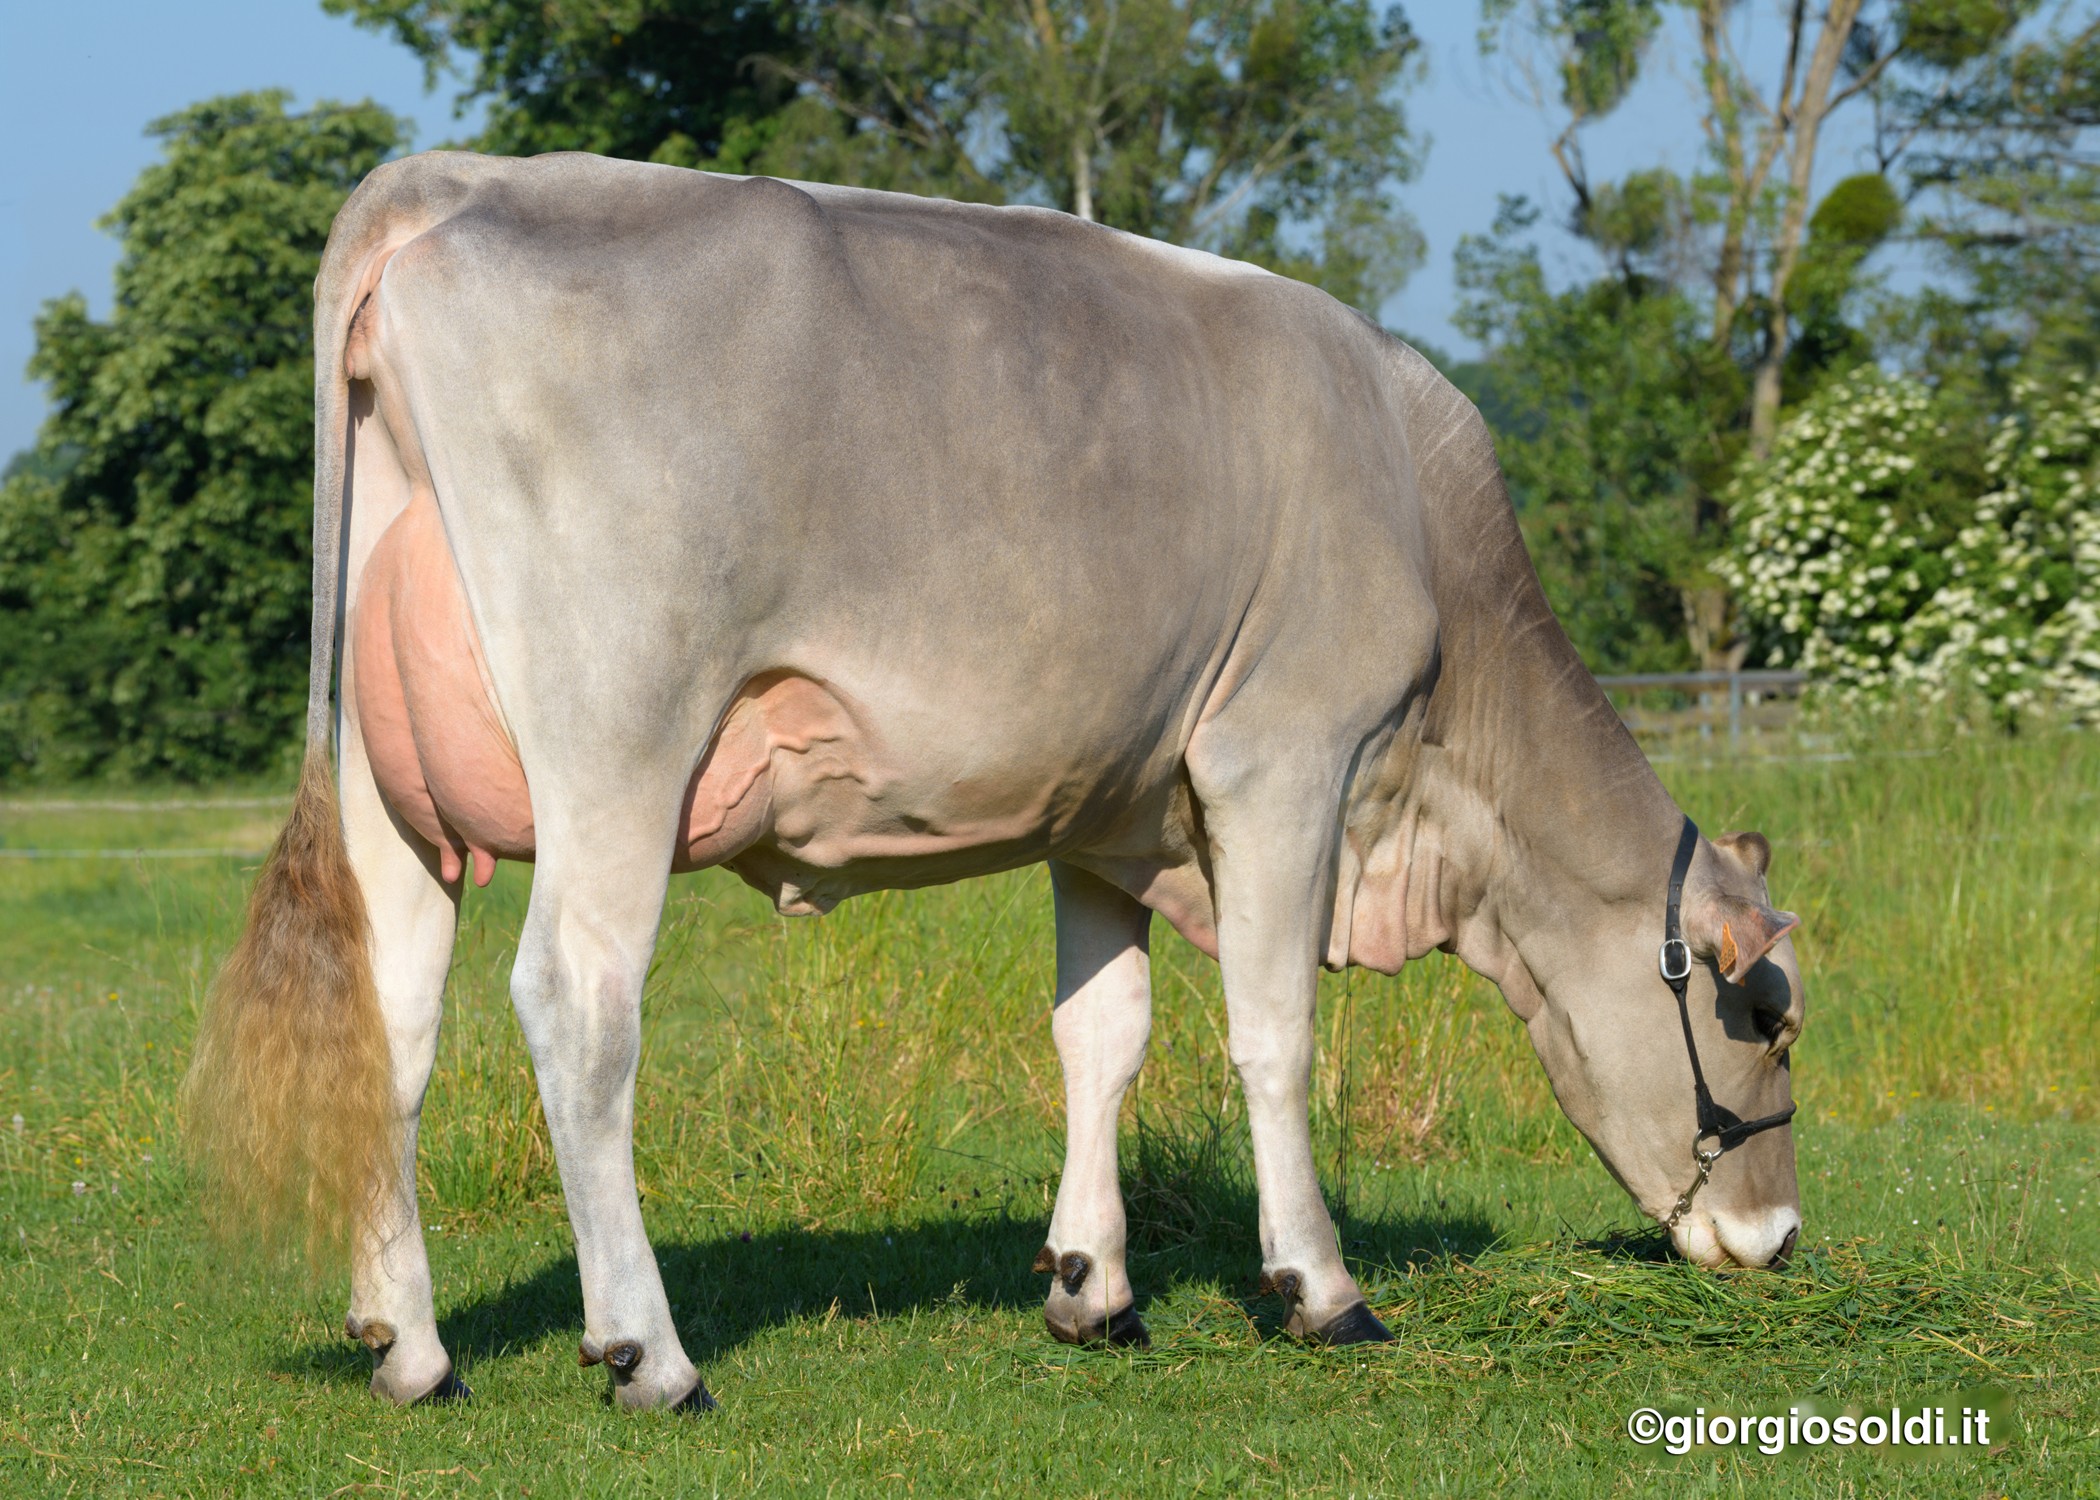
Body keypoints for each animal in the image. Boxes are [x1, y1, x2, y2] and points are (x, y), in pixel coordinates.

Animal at [184, 154, 1805, 1411]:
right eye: (1764, 1018)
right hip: (620, 742)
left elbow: (1106, 1035)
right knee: (578, 1009)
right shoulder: (1283, 759)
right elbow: (1275, 1034)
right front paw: (1323, 1287)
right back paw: (651, 1353)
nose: (1781, 1240)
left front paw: (1095, 1285)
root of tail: (454, 179)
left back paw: (410, 1348)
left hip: (391, 787)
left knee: (392, 1021)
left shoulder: (1112, 805)